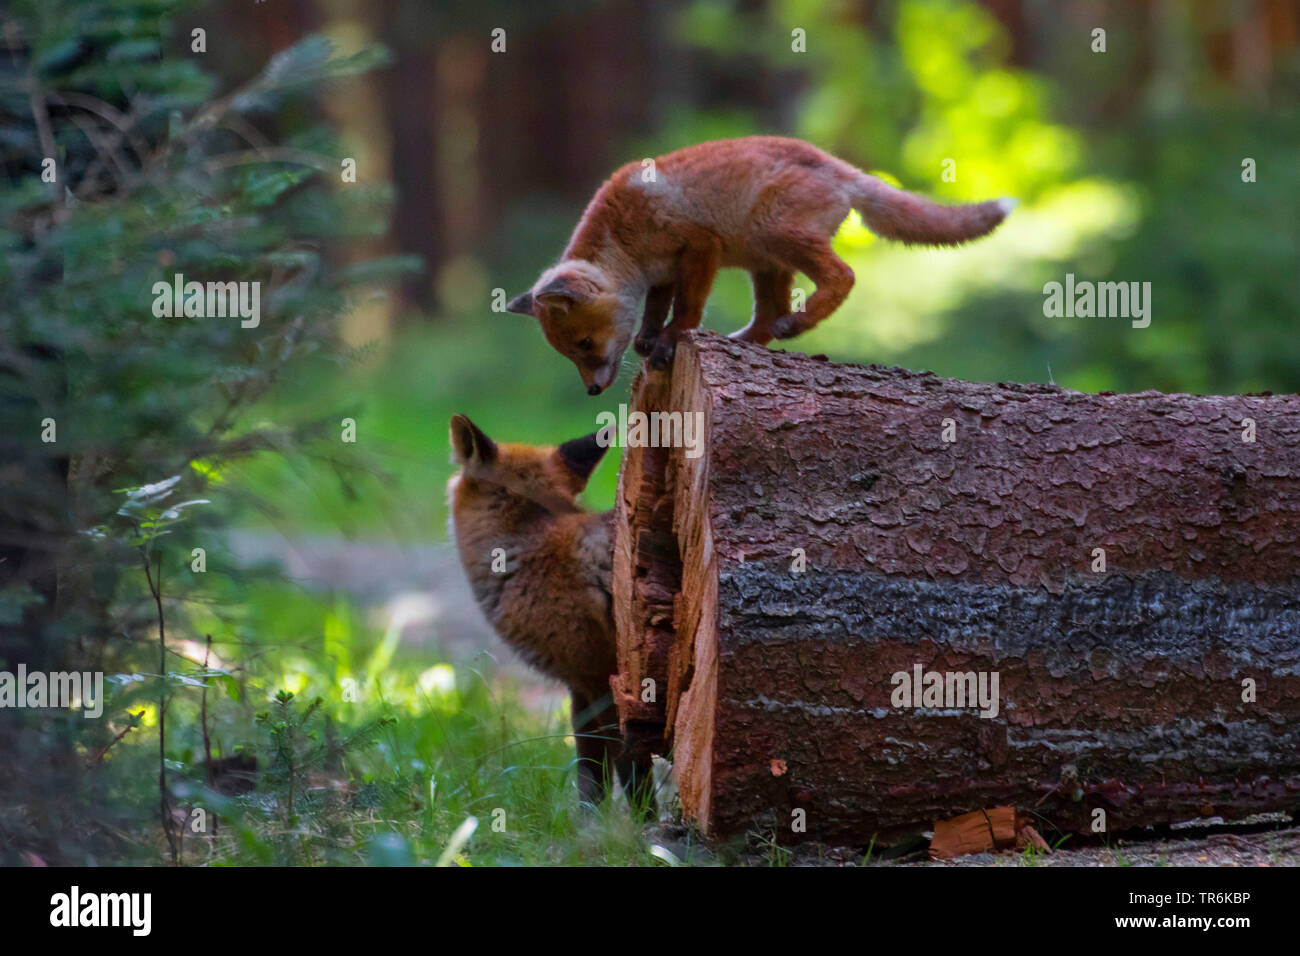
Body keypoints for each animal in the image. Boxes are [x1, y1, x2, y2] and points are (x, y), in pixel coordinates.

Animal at [447, 416, 655, 811]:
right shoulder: (580, 688)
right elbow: (590, 781)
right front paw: (593, 827)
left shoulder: (608, 684)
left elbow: (633, 776)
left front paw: (644, 827)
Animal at [506, 134, 1013, 392]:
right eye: (572, 353)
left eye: (585, 344)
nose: (593, 391)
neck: (624, 235)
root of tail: (842, 168)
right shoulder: (662, 273)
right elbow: (653, 310)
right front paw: (650, 339)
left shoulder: (700, 247)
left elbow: (686, 310)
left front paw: (670, 340)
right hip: (764, 261)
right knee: (767, 320)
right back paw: (744, 342)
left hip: (775, 235)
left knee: (842, 277)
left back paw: (799, 322)